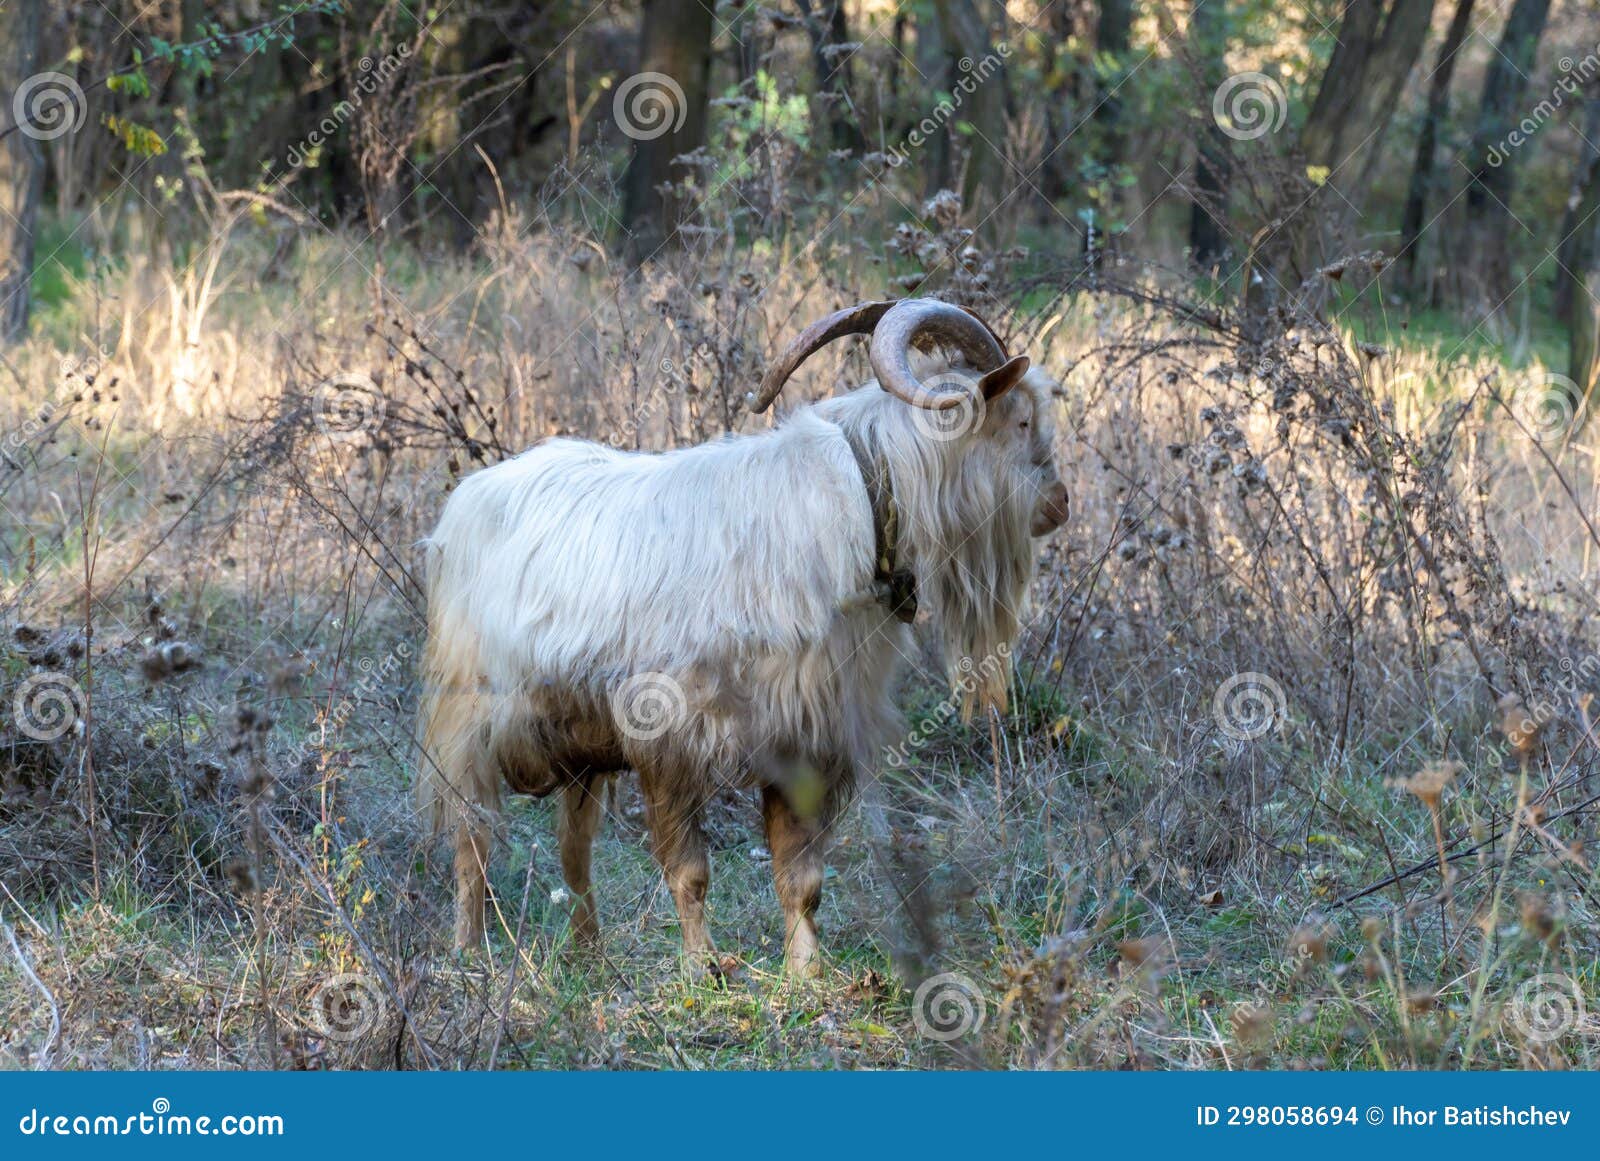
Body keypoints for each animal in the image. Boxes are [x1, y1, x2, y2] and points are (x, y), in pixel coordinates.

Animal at [412, 297, 1068, 972]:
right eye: (1020, 421)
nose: (1060, 505)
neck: (861, 499)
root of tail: (462, 504)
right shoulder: (669, 739)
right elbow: (689, 870)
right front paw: (702, 969)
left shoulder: (805, 737)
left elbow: (800, 874)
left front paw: (804, 972)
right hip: (469, 727)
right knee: (472, 841)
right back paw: (468, 952)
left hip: (581, 747)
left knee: (574, 850)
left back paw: (590, 954)